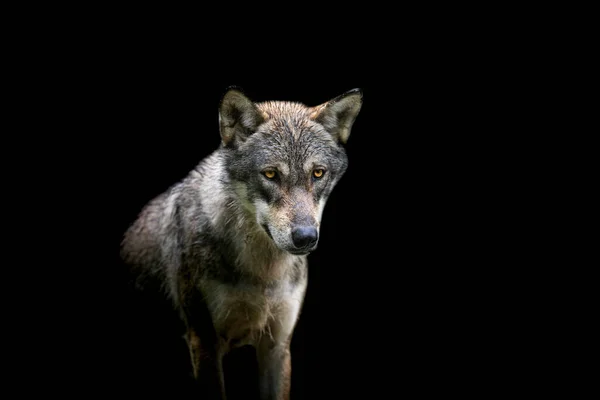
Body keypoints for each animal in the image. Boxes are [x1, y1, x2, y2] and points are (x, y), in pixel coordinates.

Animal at [118, 87, 360, 400]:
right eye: (270, 174)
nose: (305, 237)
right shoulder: (204, 342)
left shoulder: (277, 346)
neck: (262, 274)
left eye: (317, 173)